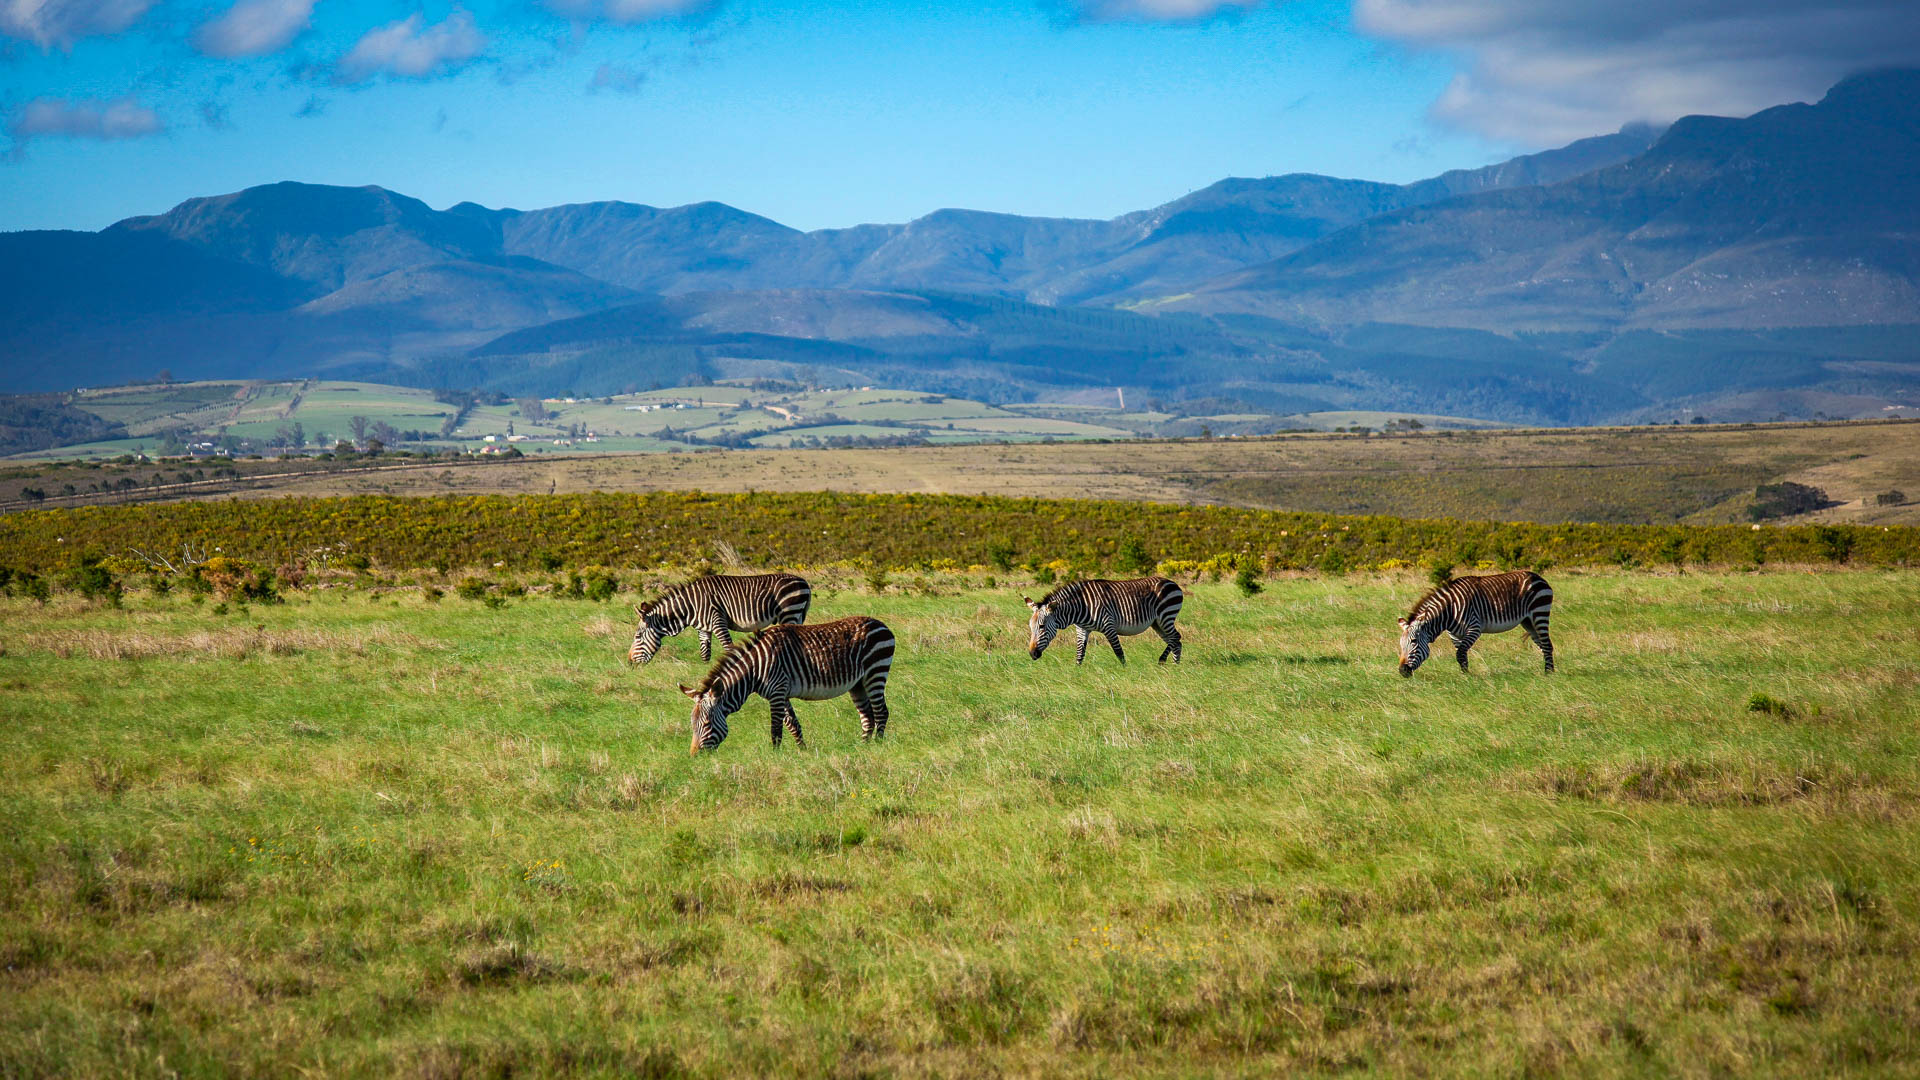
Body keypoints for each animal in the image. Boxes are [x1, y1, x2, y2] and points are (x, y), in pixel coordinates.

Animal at [628, 573, 812, 665]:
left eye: (637, 636)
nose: (630, 662)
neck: (690, 607)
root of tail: (804, 581)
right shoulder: (703, 628)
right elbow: (705, 654)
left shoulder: (718, 622)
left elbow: (729, 648)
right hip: (796, 615)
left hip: (789, 612)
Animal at [680, 616, 895, 753]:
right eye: (692, 724)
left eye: (706, 724)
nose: (694, 756)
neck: (755, 670)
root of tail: (882, 624)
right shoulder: (781, 693)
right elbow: (793, 725)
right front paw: (803, 751)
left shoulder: (777, 690)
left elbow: (776, 728)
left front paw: (776, 756)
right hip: (858, 684)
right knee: (868, 716)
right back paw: (863, 747)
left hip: (875, 671)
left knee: (881, 712)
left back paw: (877, 745)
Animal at [1025, 576, 1185, 665]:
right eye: (1031, 628)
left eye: (1042, 626)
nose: (1032, 654)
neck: (1082, 606)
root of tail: (1172, 582)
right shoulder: (1082, 629)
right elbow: (1079, 654)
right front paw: (1077, 674)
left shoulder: (1109, 626)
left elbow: (1119, 652)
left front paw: (1125, 671)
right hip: (1157, 623)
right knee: (1174, 640)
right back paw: (1175, 665)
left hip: (1166, 616)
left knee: (1175, 637)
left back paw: (1164, 661)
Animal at [1398, 569, 1554, 677]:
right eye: (1400, 644)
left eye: (1414, 641)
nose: (1402, 671)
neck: (1449, 612)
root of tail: (1538, 577)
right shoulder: (1455, 635)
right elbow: (1462, 656)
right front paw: (1465, 675)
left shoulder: (1474, 629)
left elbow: (1460, 654)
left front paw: (1467, 677)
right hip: (1528, 621)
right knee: (1542, 646)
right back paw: (1548, 670)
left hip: (1539, 613)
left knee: (1547, 645)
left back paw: (1549, 674)